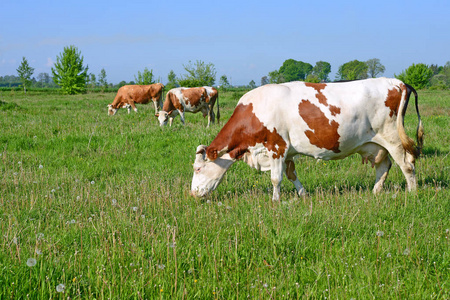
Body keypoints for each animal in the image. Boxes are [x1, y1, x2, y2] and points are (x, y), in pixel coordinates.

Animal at [192, 77, 424, 200]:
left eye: (198, 169)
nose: (192, 193)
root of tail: (397, 82)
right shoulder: (287, 151)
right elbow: (291, 174)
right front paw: (303, 194)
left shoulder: (277, 146)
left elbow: (276, 178)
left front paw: (275, 201)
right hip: (374, 144)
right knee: (383, 166)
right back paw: (375, 192)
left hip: (393, 138)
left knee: (407, 165)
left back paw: (413, 193)